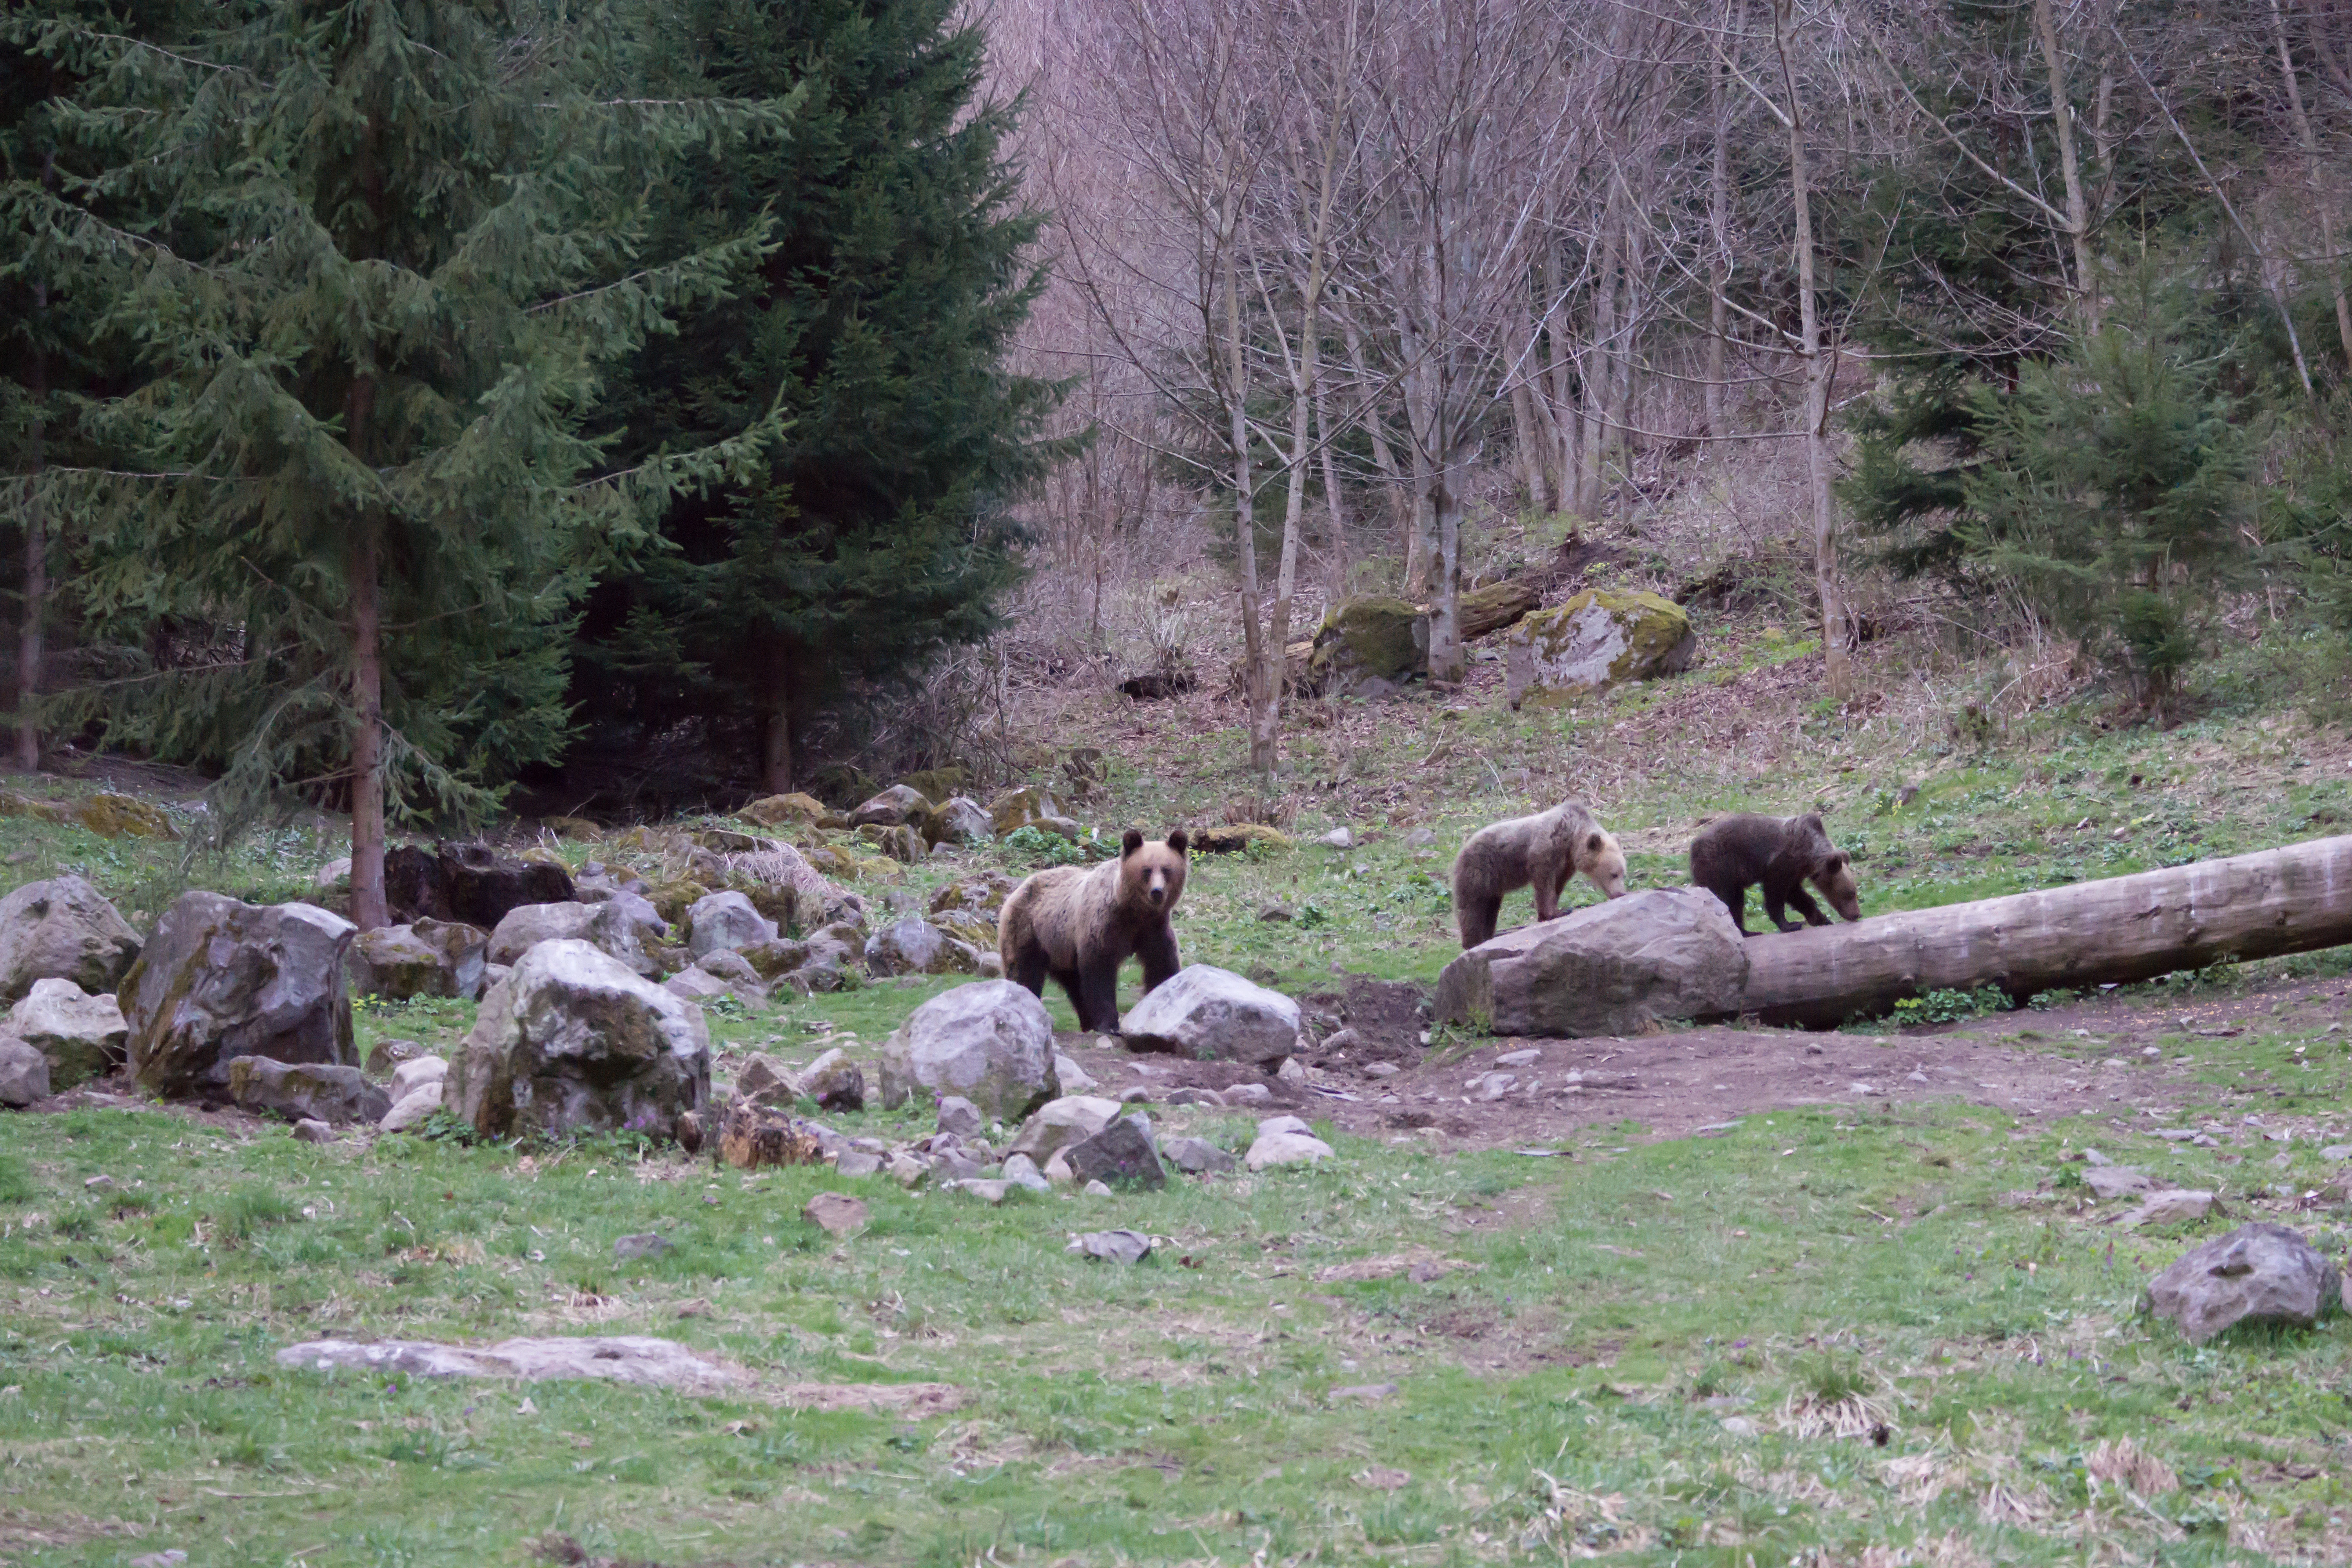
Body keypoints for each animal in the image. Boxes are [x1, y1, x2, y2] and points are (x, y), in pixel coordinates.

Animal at [998, 829, 1189, 1034]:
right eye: (1146, 870)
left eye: (1167, 870)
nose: (1157, 892)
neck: (1133, 912)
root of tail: (1018, 889)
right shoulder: (1103, 926)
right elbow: (1099, 973)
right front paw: (1109, 1025)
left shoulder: (1153, 929)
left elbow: (1162, 965)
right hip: (1030, 931)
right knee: (1024, 972)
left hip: (1061, 948)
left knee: (1074, 985)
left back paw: (1087, 1022)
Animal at [1450, 800, 1627, 949]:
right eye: (1614, 874)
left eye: (1623, 874)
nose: (1621, 893)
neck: (1571, 836)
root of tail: (1462, 849)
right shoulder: (1545, 849)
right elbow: (1544, 881)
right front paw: (1556, 913)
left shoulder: (1567, 862)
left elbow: (1558, 884)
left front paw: (1554, 910)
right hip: (1480, 870)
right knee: (1473, 907)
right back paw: (1473, 942)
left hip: (1493, 884)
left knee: (1490, 907)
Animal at [1689, 811, 1862, 936]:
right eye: (1850, 894)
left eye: (1854, 893)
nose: (1857, 915)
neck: (1808, 856)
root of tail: (1694, 846)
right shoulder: (1780, 865)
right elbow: (1776, 895)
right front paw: (1791, 924)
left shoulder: (1796, 872)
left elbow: (1798, 896)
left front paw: (1821, 919)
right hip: (1720, 868)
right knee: (1726, 900)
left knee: (1736, 902)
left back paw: (1748, 932)